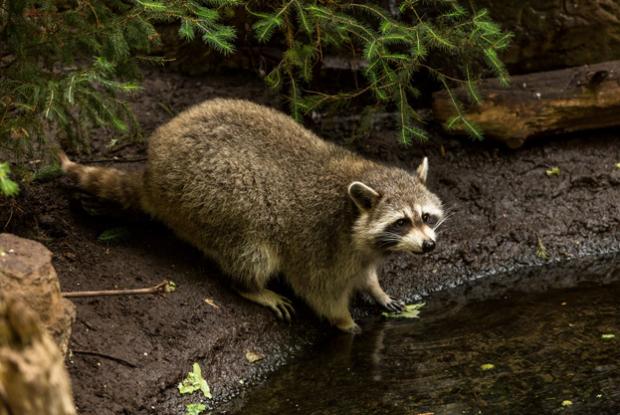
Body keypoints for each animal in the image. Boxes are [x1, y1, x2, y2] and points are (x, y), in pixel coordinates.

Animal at [60, 98, 444, 334]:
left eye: (427, 217)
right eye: (401, 222)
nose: (429, 246)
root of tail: (152, 171)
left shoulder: (359, 250)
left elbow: (364, 273)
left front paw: (376, 289)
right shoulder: (319, 241)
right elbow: (318, 289)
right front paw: (343, 320)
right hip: (209, 200)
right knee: (251, 250)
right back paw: (250, 286)